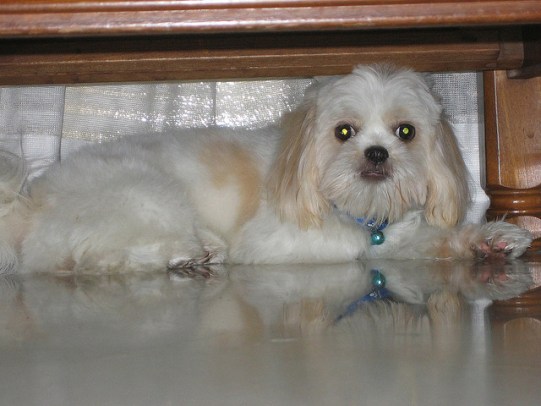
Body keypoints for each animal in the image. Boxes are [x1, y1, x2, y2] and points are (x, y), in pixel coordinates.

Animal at [0, 64, 532, 272]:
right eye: (344, 132)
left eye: (406, 132)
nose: (376, 154)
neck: (361, 212)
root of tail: (29, 203)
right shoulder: (276, 241)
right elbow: (354, 249)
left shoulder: (399, 237)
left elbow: (429, 242)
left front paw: (491, 239)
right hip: (147, 195)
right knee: (96, 258)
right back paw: (190, 254)